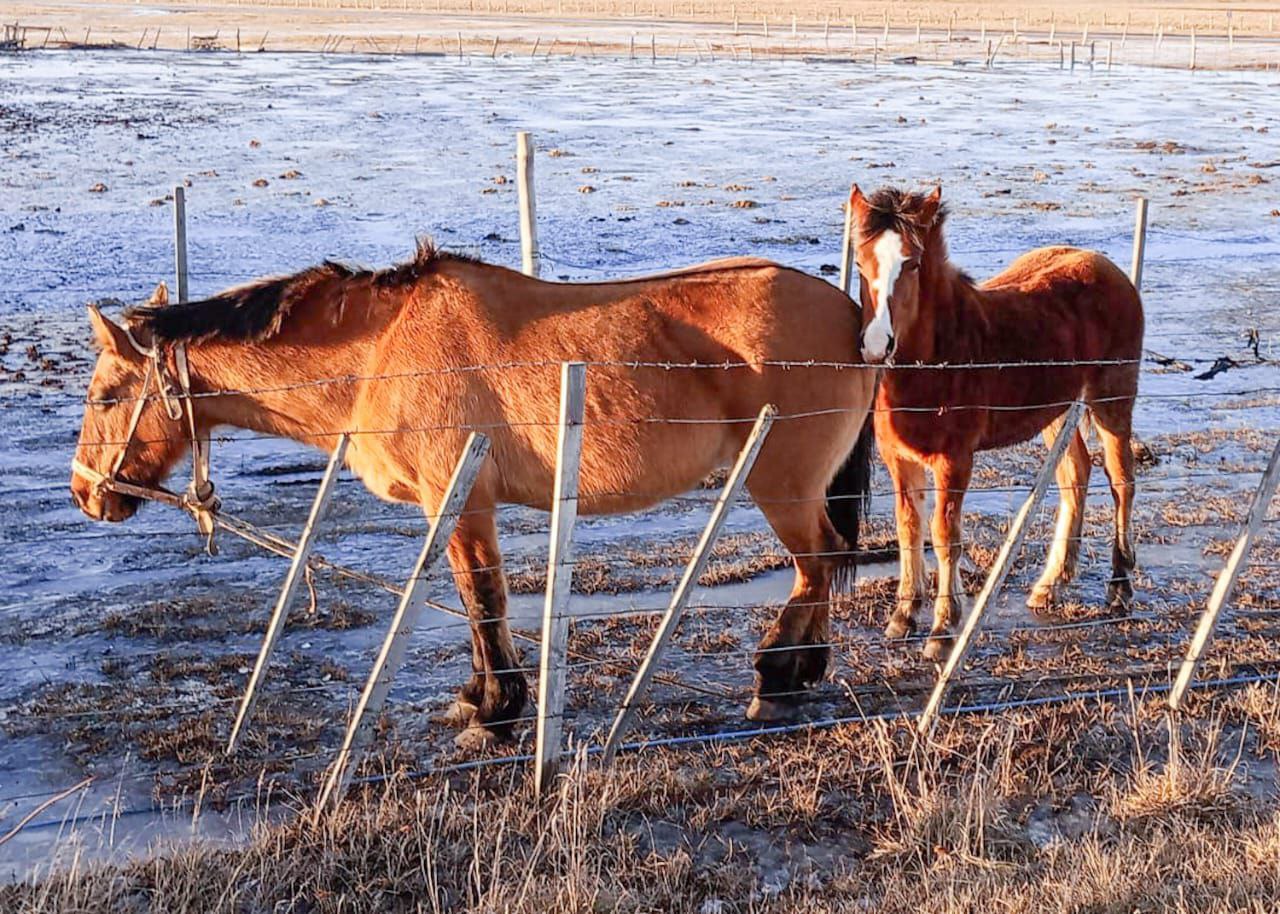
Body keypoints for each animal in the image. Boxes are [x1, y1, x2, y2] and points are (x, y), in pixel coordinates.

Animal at [71, 241, 876, 744]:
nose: (86, 494)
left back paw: (780, 673)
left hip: (781, 487)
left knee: (817, 563)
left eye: (107, 395)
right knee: (825, 563)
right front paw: (478, 697)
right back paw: (802, 667)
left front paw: (495, 711)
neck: (381, 351)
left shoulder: (461, 503)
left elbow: (481, 597)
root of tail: (854, 318)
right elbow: (474, 602)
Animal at [848, 186, 1143, 660]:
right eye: (859, 264)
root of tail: (1108, 268)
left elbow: (944, 534)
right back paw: (1049, 585)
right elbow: (908, 527)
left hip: (1112, 399)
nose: (877, 345)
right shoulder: (899, 460)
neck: (941, 357)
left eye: (912, 264)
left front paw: (942, 630)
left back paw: (1119, 588)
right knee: (1075, 474)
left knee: (1121, 480)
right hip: (1057, 409)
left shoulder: (954, 462)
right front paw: (903, 616)